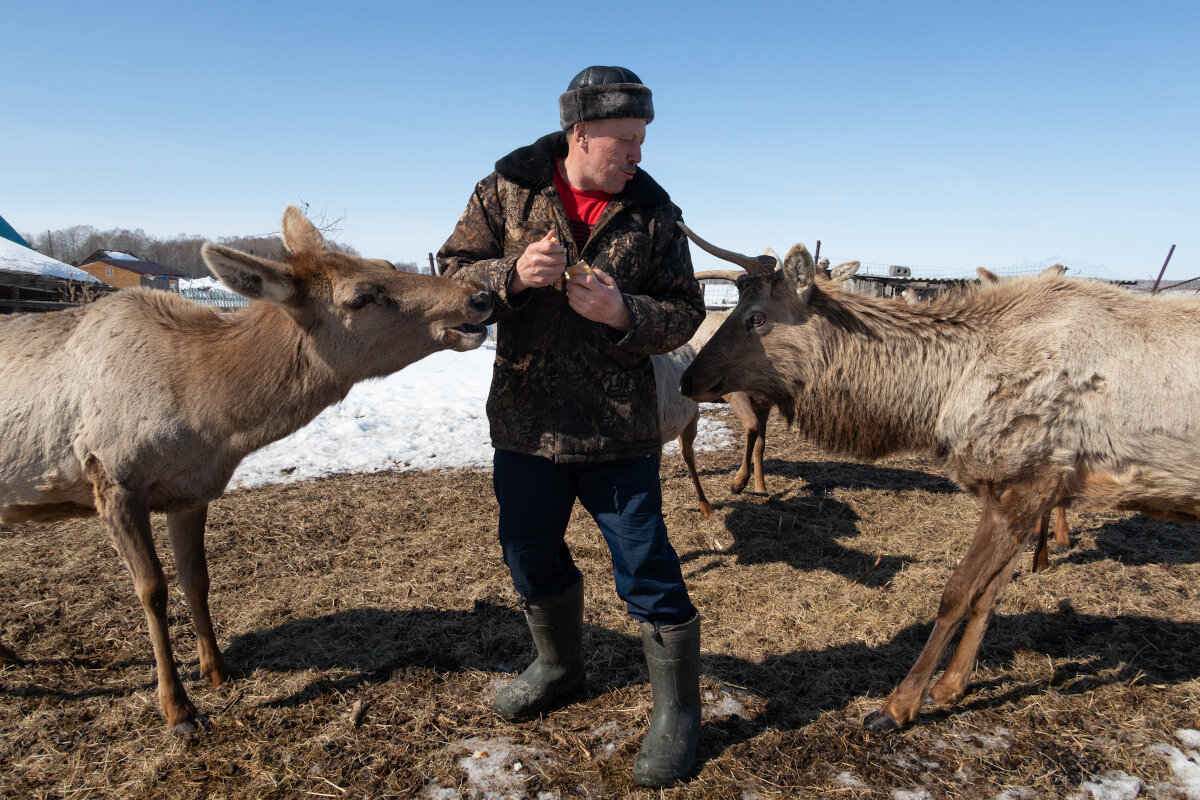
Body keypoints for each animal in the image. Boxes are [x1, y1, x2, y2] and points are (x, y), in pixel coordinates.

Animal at [0, 205, 492, 734]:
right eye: (360, 297)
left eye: (386, 263)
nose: (479, 296)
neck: (208, 420)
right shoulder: (112, 478)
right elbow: (152, 590)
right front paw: (178, 709)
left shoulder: (191, 490)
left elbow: (197, 579)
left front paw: (216, 670)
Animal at [676, 224, 1200, 734]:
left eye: (757, 318)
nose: (686, 378)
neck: (940, 398)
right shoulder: (1020, 490)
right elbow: (990, 594)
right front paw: (950, 689)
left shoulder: (1027, 483)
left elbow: (958, 594)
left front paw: (896, 707)